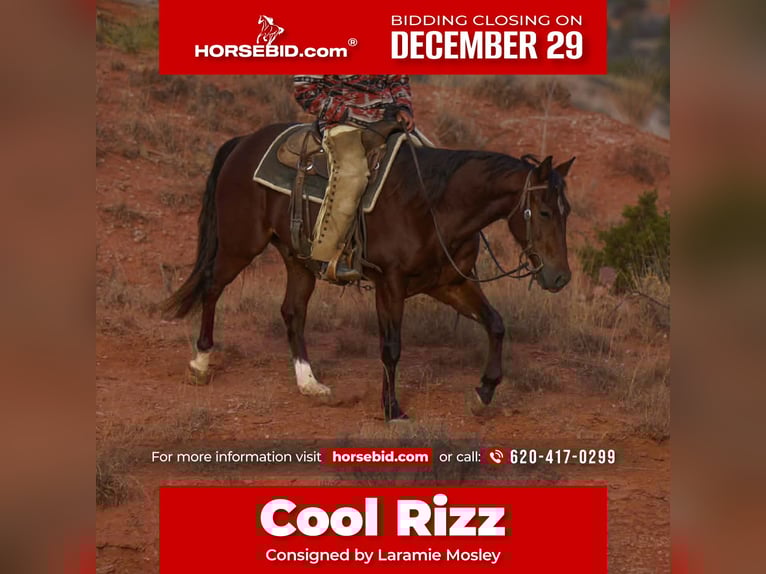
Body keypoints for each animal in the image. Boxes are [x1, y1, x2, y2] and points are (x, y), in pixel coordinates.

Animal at [163, 123, 575, 421]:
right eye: (543, 212)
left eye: (566, 210)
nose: (560, 278)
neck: (435, 205)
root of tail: (244, 142)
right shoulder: (389, 284)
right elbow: (391, 347)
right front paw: (392, 409)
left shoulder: (450, 283)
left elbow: (496, 324)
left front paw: (483, 393)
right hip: (240, 244)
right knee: (212, 287)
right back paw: (200, 364)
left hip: (298, 258)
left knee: (293, 311)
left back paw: (310, 384)